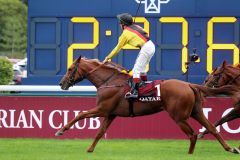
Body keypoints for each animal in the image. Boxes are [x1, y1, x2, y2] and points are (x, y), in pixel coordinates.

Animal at [55, 56, 237, 154]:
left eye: (70, 68)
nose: (61, 83)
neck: (109, 82)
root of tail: (189, 84)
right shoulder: (111, 113)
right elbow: (100, 132)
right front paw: (90, 149)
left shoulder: (102, 109)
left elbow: (81, 114)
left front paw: (61, 130)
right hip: (196, 112)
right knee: (212, 128)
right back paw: (231, 149)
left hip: (179, 116)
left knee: (192, 135)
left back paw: (189, 155)